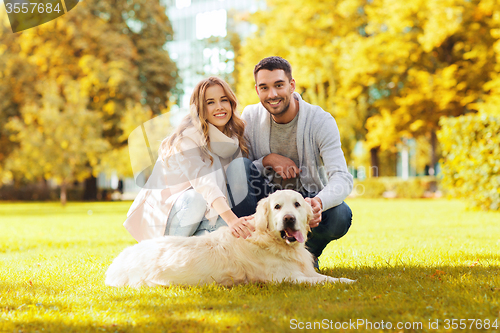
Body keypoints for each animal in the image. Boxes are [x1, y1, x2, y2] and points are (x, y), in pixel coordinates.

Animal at [105, 189, 356, 286]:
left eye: (297, 204)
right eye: (277, 207)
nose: (288, 219)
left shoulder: (304, 271)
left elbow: (325, 277)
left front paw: (346, 280)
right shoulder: (287, 278)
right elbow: (322, 281)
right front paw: (349, 282)